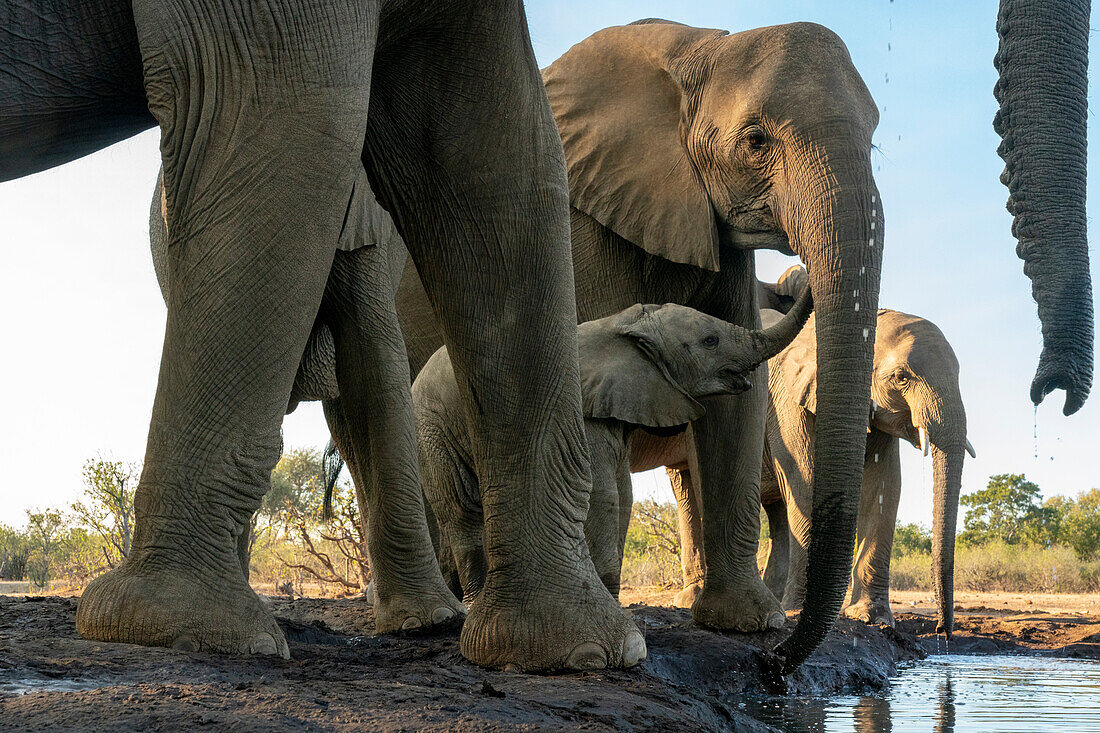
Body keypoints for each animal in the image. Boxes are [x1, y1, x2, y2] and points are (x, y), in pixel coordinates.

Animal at [415, 288, 814, 607]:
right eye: (710, 341)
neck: (626, 328)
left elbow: (624, 494)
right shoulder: (584, 407)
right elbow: (602, 491)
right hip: (432, 428)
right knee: (461, 510)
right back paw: (474, 603)